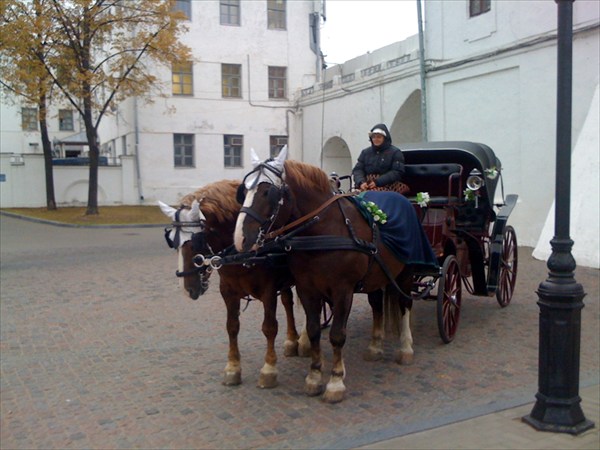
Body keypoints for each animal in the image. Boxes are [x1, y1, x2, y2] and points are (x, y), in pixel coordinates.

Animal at [159, 181, 310, 388]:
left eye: (194, 244)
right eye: (172, 242)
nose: (188, 289)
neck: (241, 253)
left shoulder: (269, 291)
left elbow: (269, 327)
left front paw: (269, 369)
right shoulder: (228, 292)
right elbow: (232, 326)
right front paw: (232, 368)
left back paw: (305, 340)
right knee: (288, 302)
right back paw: (291, 340)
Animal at [234, 149, 418, 404]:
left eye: (267, 192)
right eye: (244, 191)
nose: (240, 239)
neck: (324, 232)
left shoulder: (343, 290)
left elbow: (337, 334)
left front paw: (335, 382)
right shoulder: (307, 288)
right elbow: (313, 331)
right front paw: (314, 377)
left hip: (406, 273)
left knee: (405, 304)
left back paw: (406, 348)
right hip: (376, 276)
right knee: (377, 305)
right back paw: (375, 346)